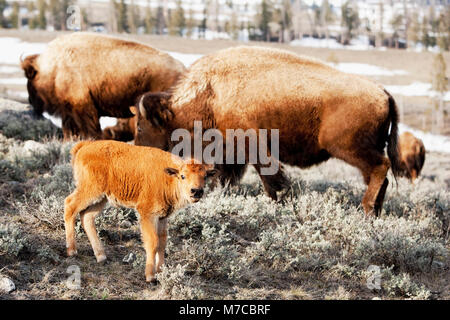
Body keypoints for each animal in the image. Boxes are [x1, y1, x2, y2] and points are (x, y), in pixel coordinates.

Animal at [20, 32, 186, 140]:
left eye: (29, 76)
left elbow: (91, 129)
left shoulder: (83, 107)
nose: (31, 102)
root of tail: (182, 70)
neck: (54, 67)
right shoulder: (68, 111)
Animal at [64, 140, 216, 282]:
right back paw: (72, 251)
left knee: (86, 217)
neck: (168, 178)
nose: (196, 191)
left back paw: (101, 256)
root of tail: (84, 146)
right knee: (70, 206)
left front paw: (161, 271)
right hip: (90, 190)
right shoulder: (147, 214)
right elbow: (153, 242)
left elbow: (162, 242)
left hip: (102, 198)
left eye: (205, 176)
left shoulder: (162, 217)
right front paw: (150, 276)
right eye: (183, 176)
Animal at [134, 47, 404, 218]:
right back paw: (375, 212)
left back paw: (366, 209)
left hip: (349, 148)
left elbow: (269, 177)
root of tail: (383, 93)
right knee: (380, 176)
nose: (138, 150)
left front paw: (280, 198)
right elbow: (229, 175)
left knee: (381, 167)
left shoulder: (251, 145)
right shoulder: (232, 151)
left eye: (140, 125)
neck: (210, 92)